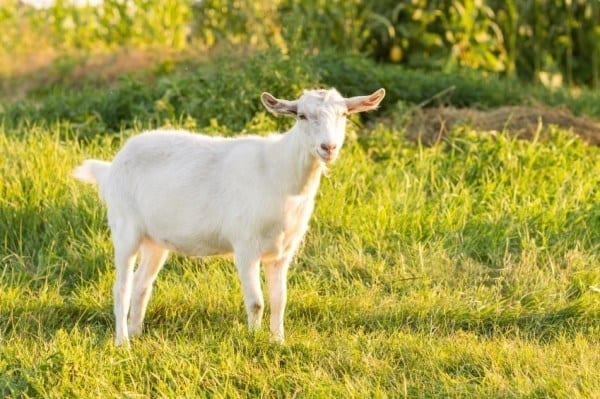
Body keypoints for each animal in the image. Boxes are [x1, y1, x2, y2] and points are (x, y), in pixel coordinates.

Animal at [74, 88, 384, 346]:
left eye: (344, 114)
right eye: (302, 115)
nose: (328, 148)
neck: (280, 173)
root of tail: (111, 166)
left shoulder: (282, 251)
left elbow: (280, 299)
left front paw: (278, 341)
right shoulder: (246, 245)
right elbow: (257, 302)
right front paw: (254, 340)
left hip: (155, 240)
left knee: (141, 284)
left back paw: (136, 332)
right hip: (125, 227)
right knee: (121, 287)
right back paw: (123, 342)